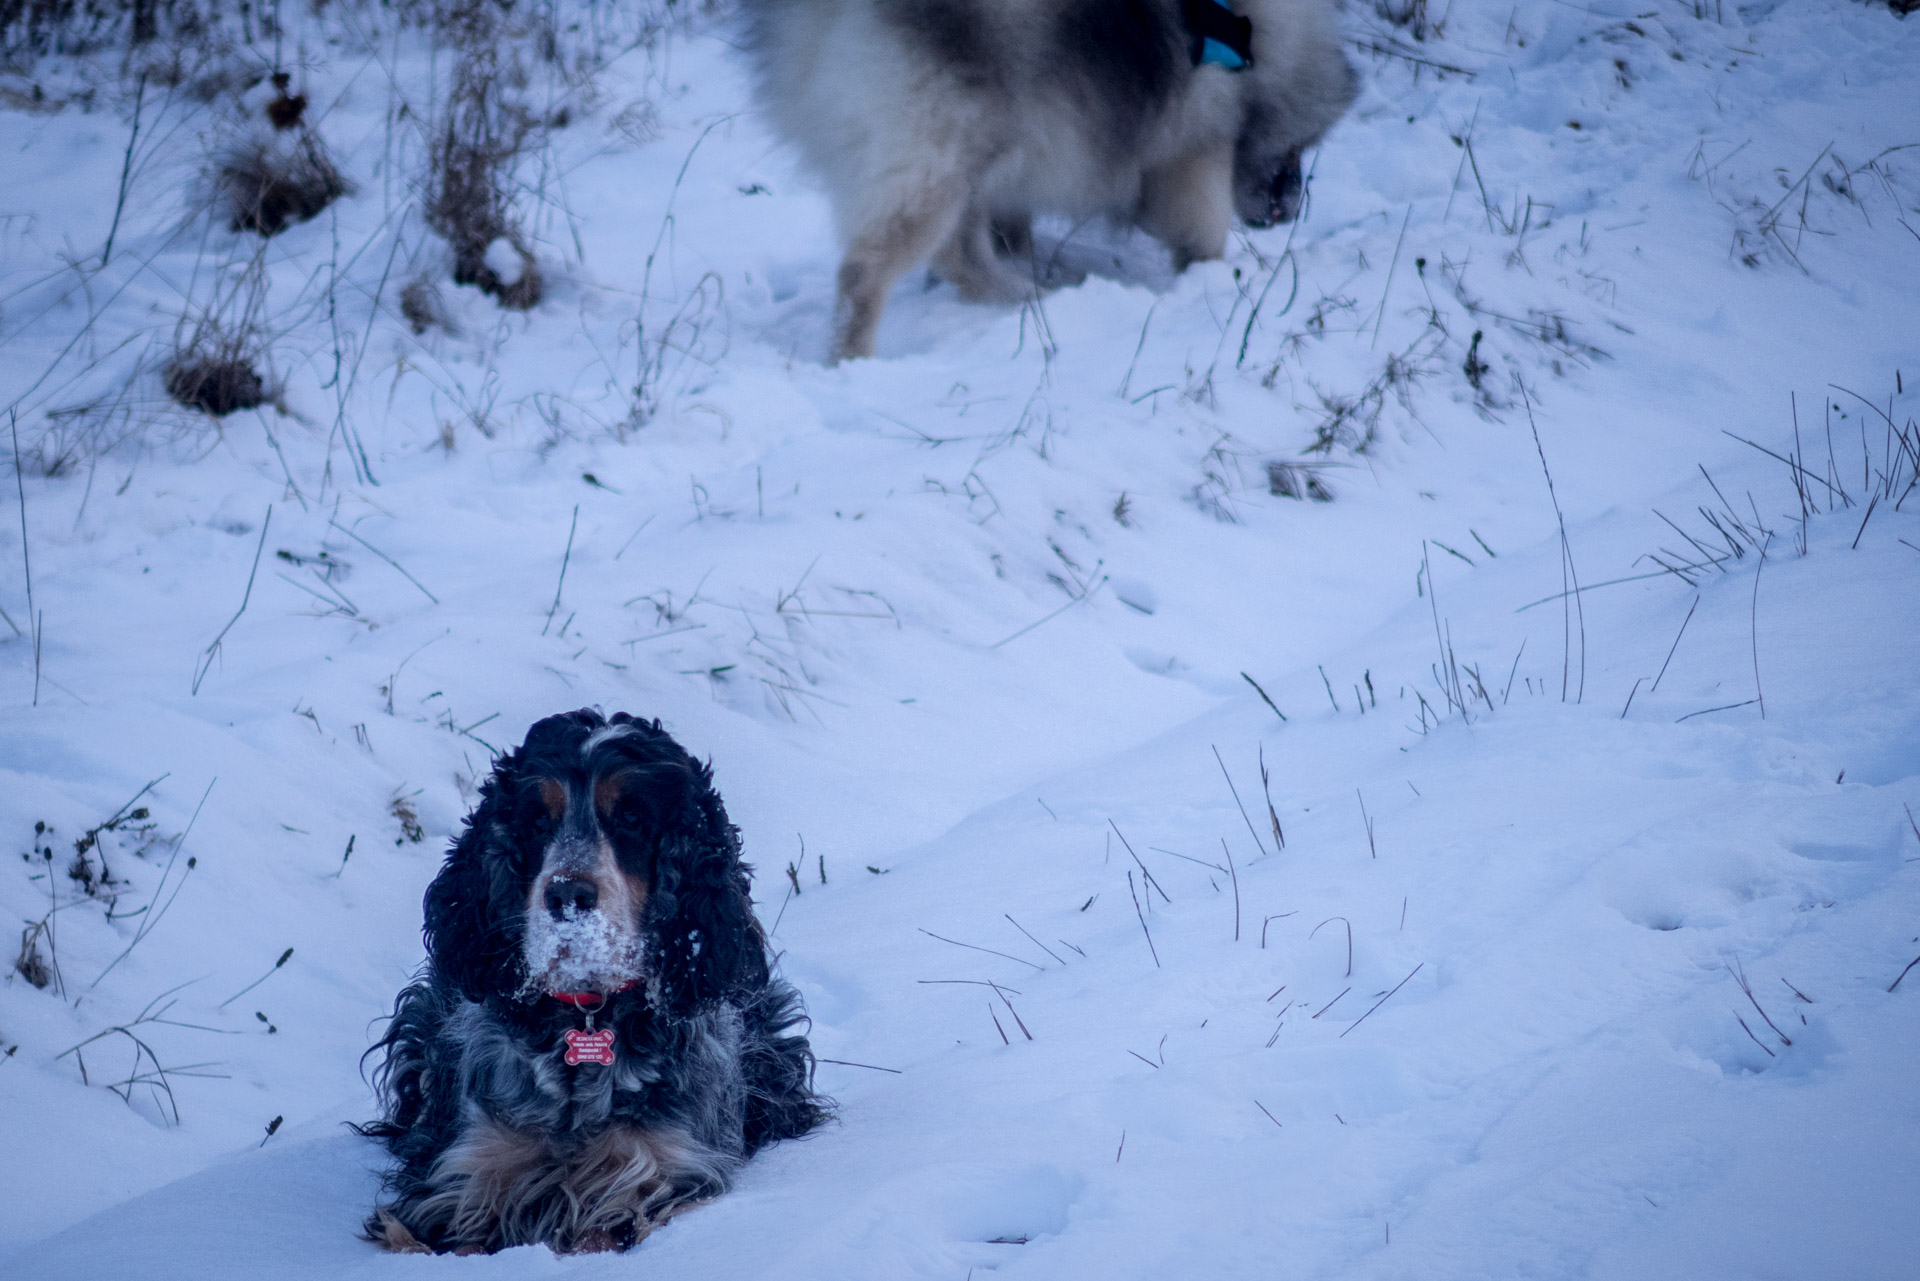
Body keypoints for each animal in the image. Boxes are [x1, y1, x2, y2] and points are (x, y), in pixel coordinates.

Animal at [360, 718, 825, 1259]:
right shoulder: (465, 1173)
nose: (567, 895)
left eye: (631, 817)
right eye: (538, 821)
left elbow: (602, 1230)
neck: (586, 1012)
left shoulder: (658, 1170)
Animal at [741, 0, 1359, 361]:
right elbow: (1201, 225)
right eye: (1297, 151)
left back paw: (1025, 296)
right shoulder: (1195, 143)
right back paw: (854, 357)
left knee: (961, 252)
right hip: (940, 147)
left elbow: (1012, 226)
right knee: (869, 271)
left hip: (970, 149)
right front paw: (1217, 278)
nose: (1286, 210)